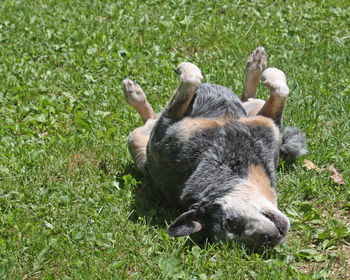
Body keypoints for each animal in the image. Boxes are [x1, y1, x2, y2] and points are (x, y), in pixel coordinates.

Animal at [122, 47, 306, 248]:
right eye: (232, 224)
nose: (269, 239)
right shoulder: (165, 129)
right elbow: (191, 80)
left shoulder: (269, 129)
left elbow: (280, 90)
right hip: (135, 139)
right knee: (149, 118)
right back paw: (133, 94)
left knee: (247, 96)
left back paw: (256, 63)